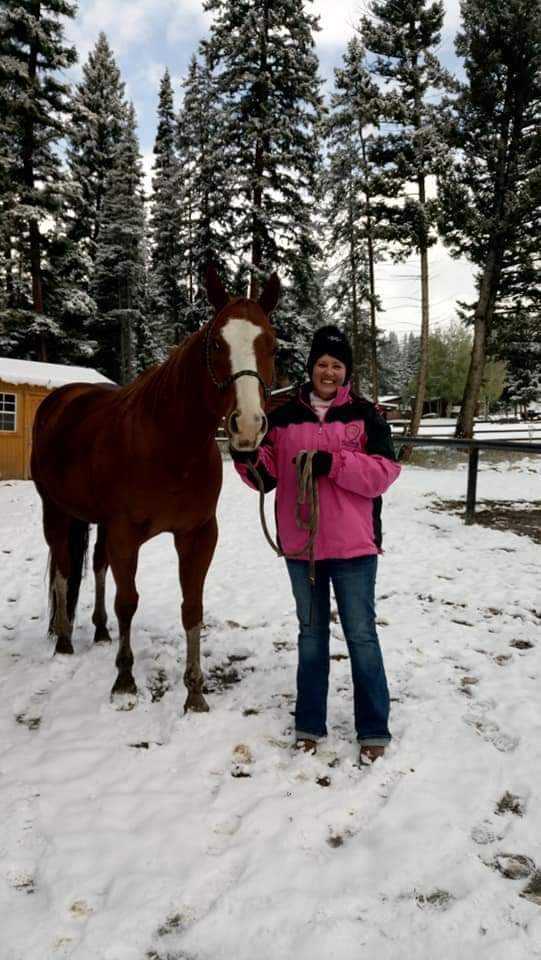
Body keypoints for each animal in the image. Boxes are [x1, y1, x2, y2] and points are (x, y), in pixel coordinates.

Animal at [30, 266, 278, 708]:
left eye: (273, 345)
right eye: (217, 343)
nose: (247, 425)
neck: (169, 443)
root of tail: (60, 400)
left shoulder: (198, 535)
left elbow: (192, 607)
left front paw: (195, 692)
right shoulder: (126, 535)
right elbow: (127, 602)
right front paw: (124, 680)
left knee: (95, 565)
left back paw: (99, 631)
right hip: (55, 511)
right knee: (62, 568)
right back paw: (63, 639)